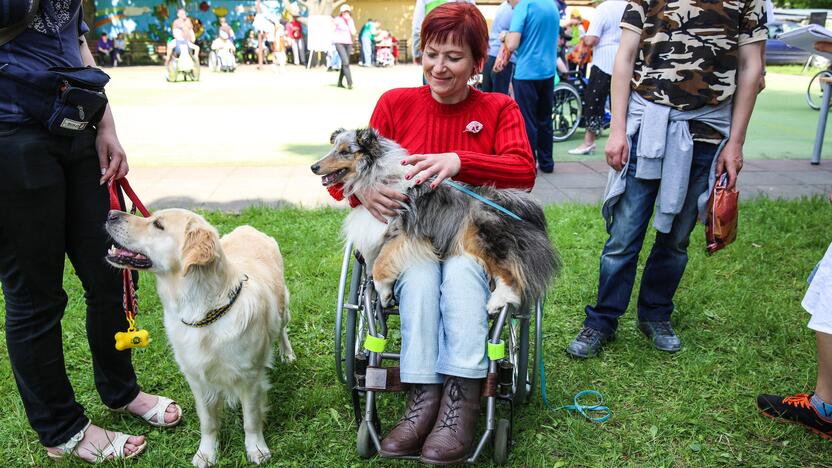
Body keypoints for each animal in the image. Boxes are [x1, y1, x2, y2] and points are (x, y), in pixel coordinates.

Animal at [105, 210, 296, 466]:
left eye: (158, 225)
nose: (111, 214)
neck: (202, 312)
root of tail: (248, 227)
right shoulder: (196, 379)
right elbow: (208, 422)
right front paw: (206, 453)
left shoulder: (250, 378)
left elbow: (251, 419)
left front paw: (256, 448)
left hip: (283, 307)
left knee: (282, 330)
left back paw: (287, 354)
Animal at [312, 127, 560, 314]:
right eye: (333, 148)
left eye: (345, 151)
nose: (313, 166)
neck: (378, 176)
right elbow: (373, 266)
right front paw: (379, 293)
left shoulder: (407, 231)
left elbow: (382, 264)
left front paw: (383, 293)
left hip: (482, 236)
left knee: (513, 277)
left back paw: (495, 303)